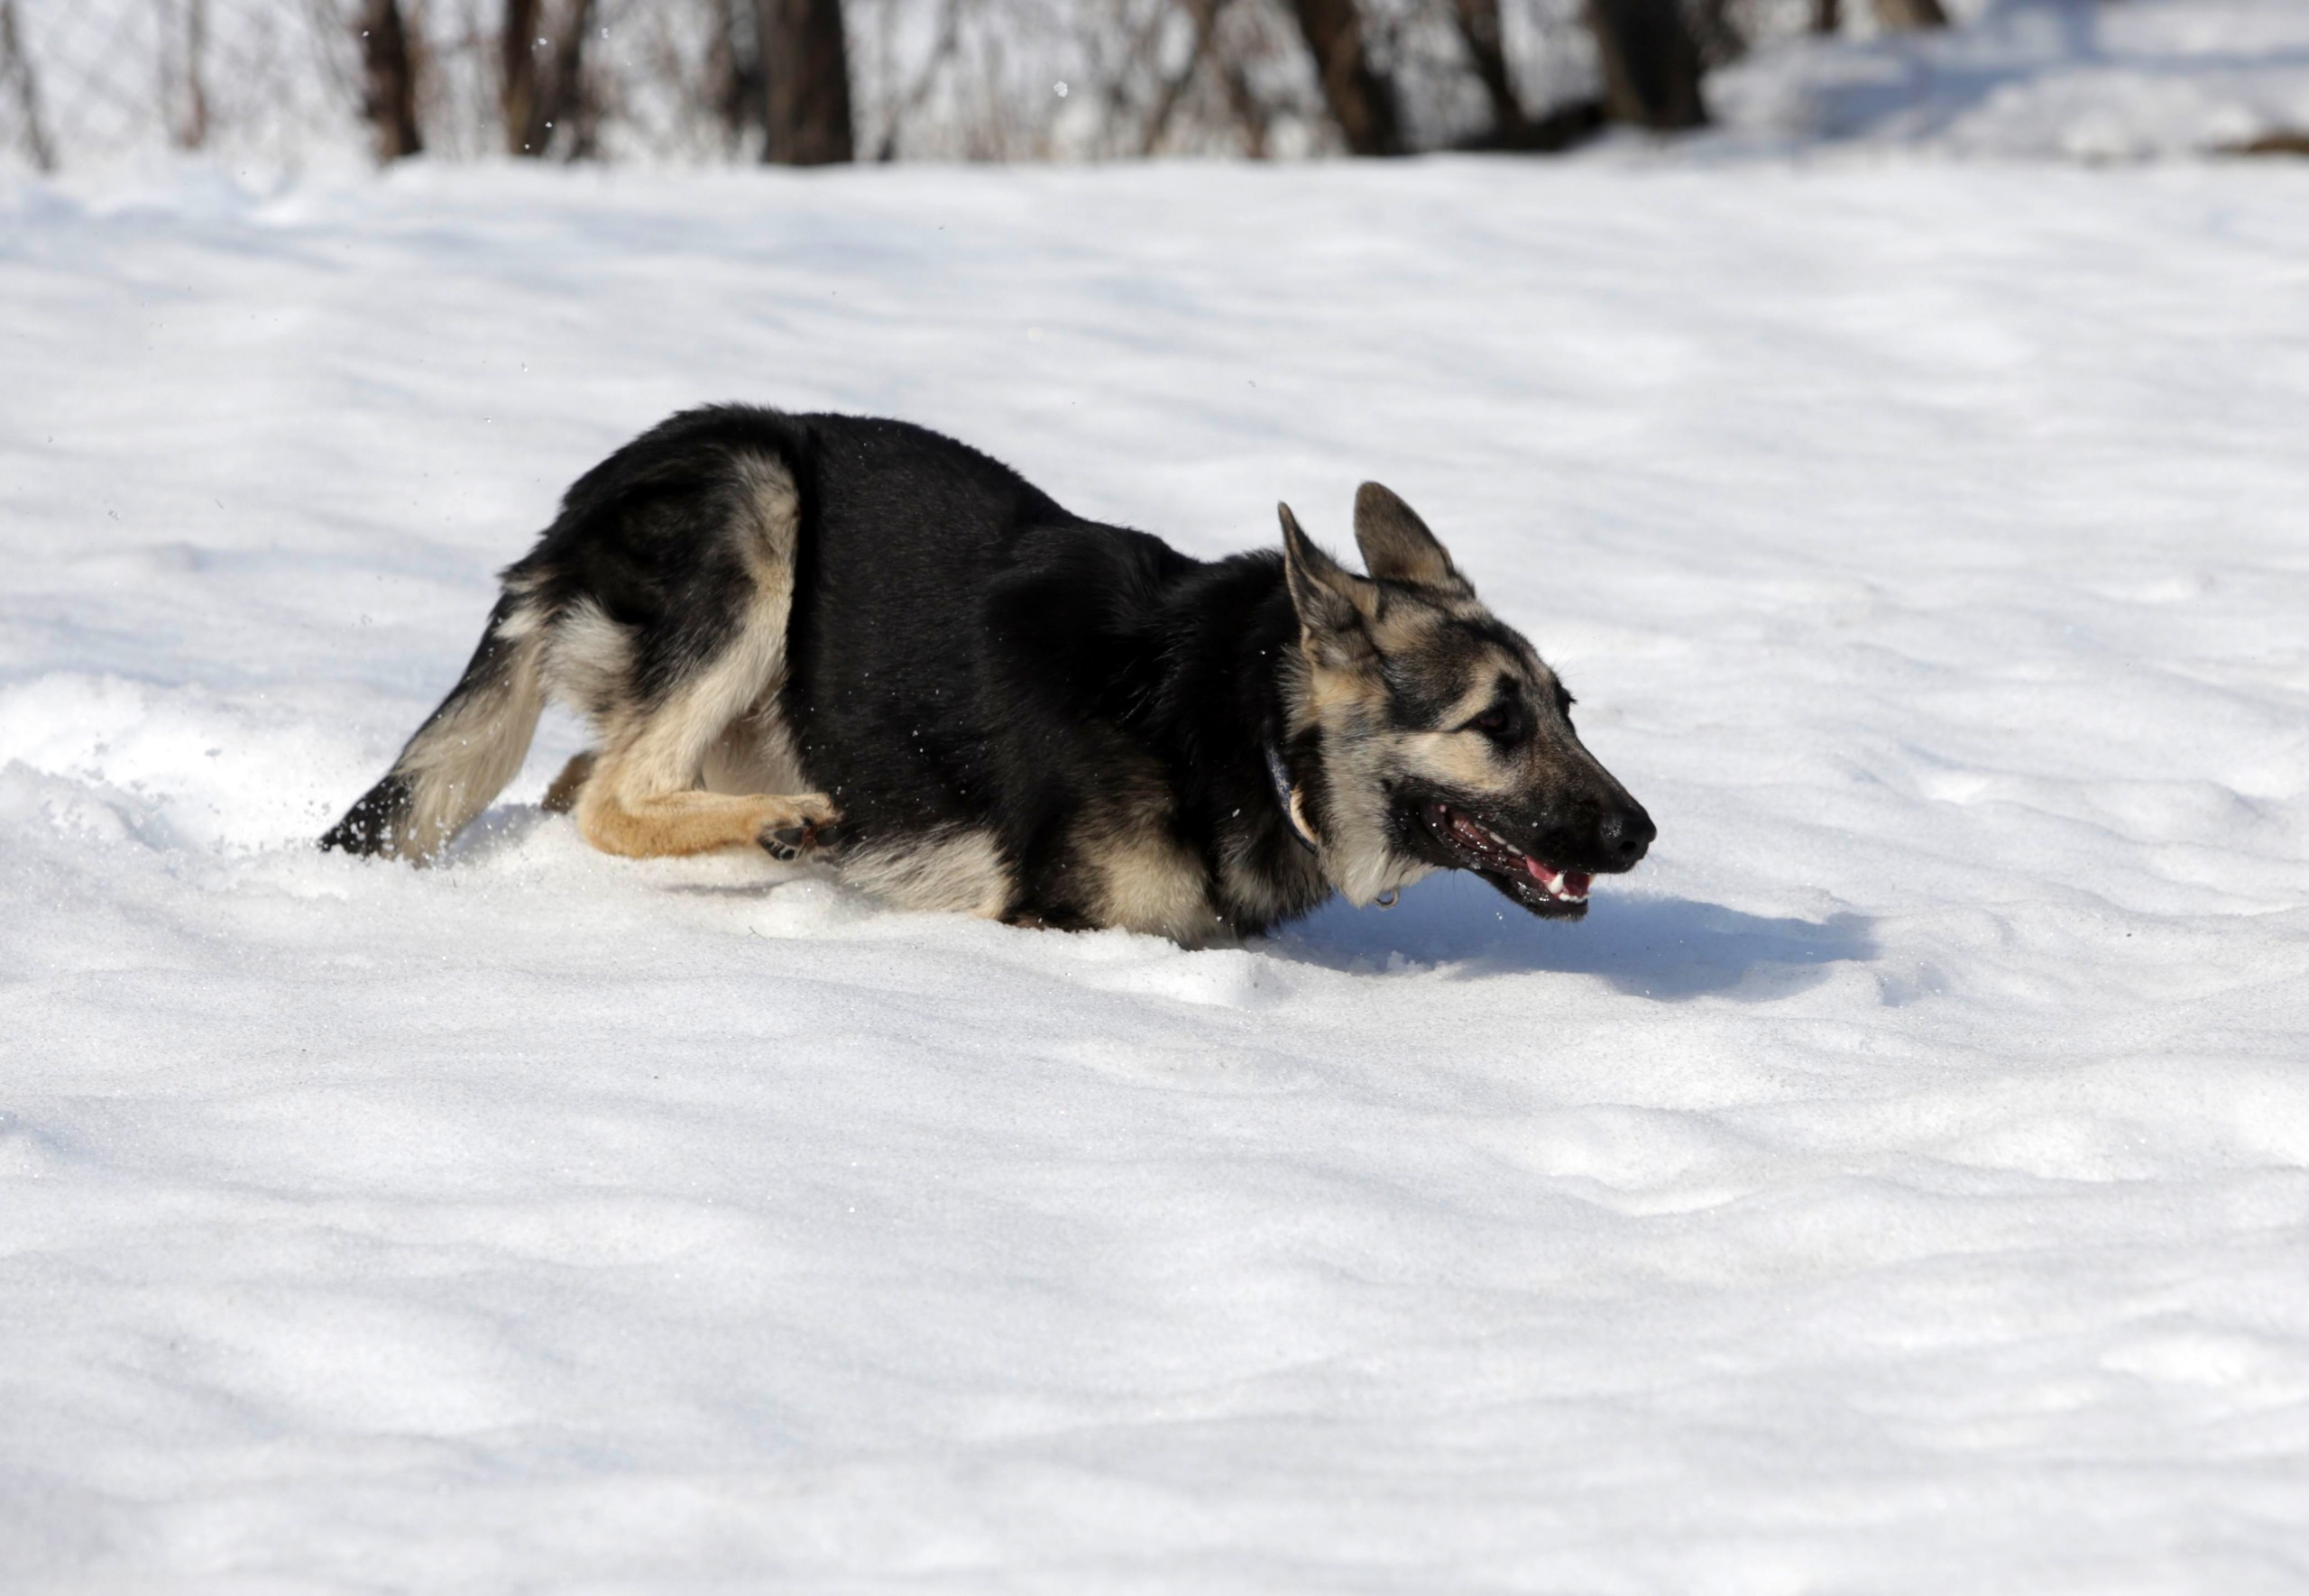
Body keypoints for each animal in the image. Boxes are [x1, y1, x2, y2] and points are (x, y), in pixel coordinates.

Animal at [330, 406, 1662, 947]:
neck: (1240, 721)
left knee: (579, 784)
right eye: (1495, 723)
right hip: (757, 507)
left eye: (1566, 712)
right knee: (612, 796)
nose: (1642, 833)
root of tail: (566, 519)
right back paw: (780, 827)